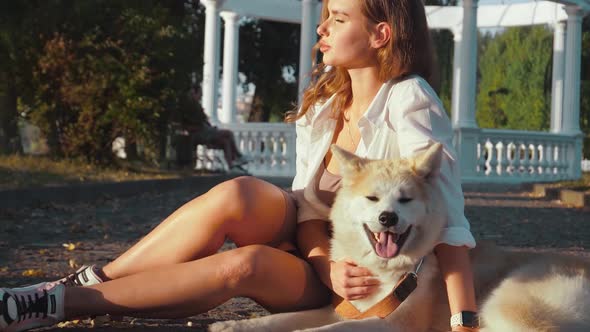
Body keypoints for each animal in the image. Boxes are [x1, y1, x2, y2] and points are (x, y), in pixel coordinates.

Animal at [212, 143, 590, 332]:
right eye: (372, 198)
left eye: (405, 199)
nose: (387, 218)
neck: (388, 273)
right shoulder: (345, 311)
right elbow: (281, 320)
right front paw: (228, 327)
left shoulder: (391, 324)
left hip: (508, 303)